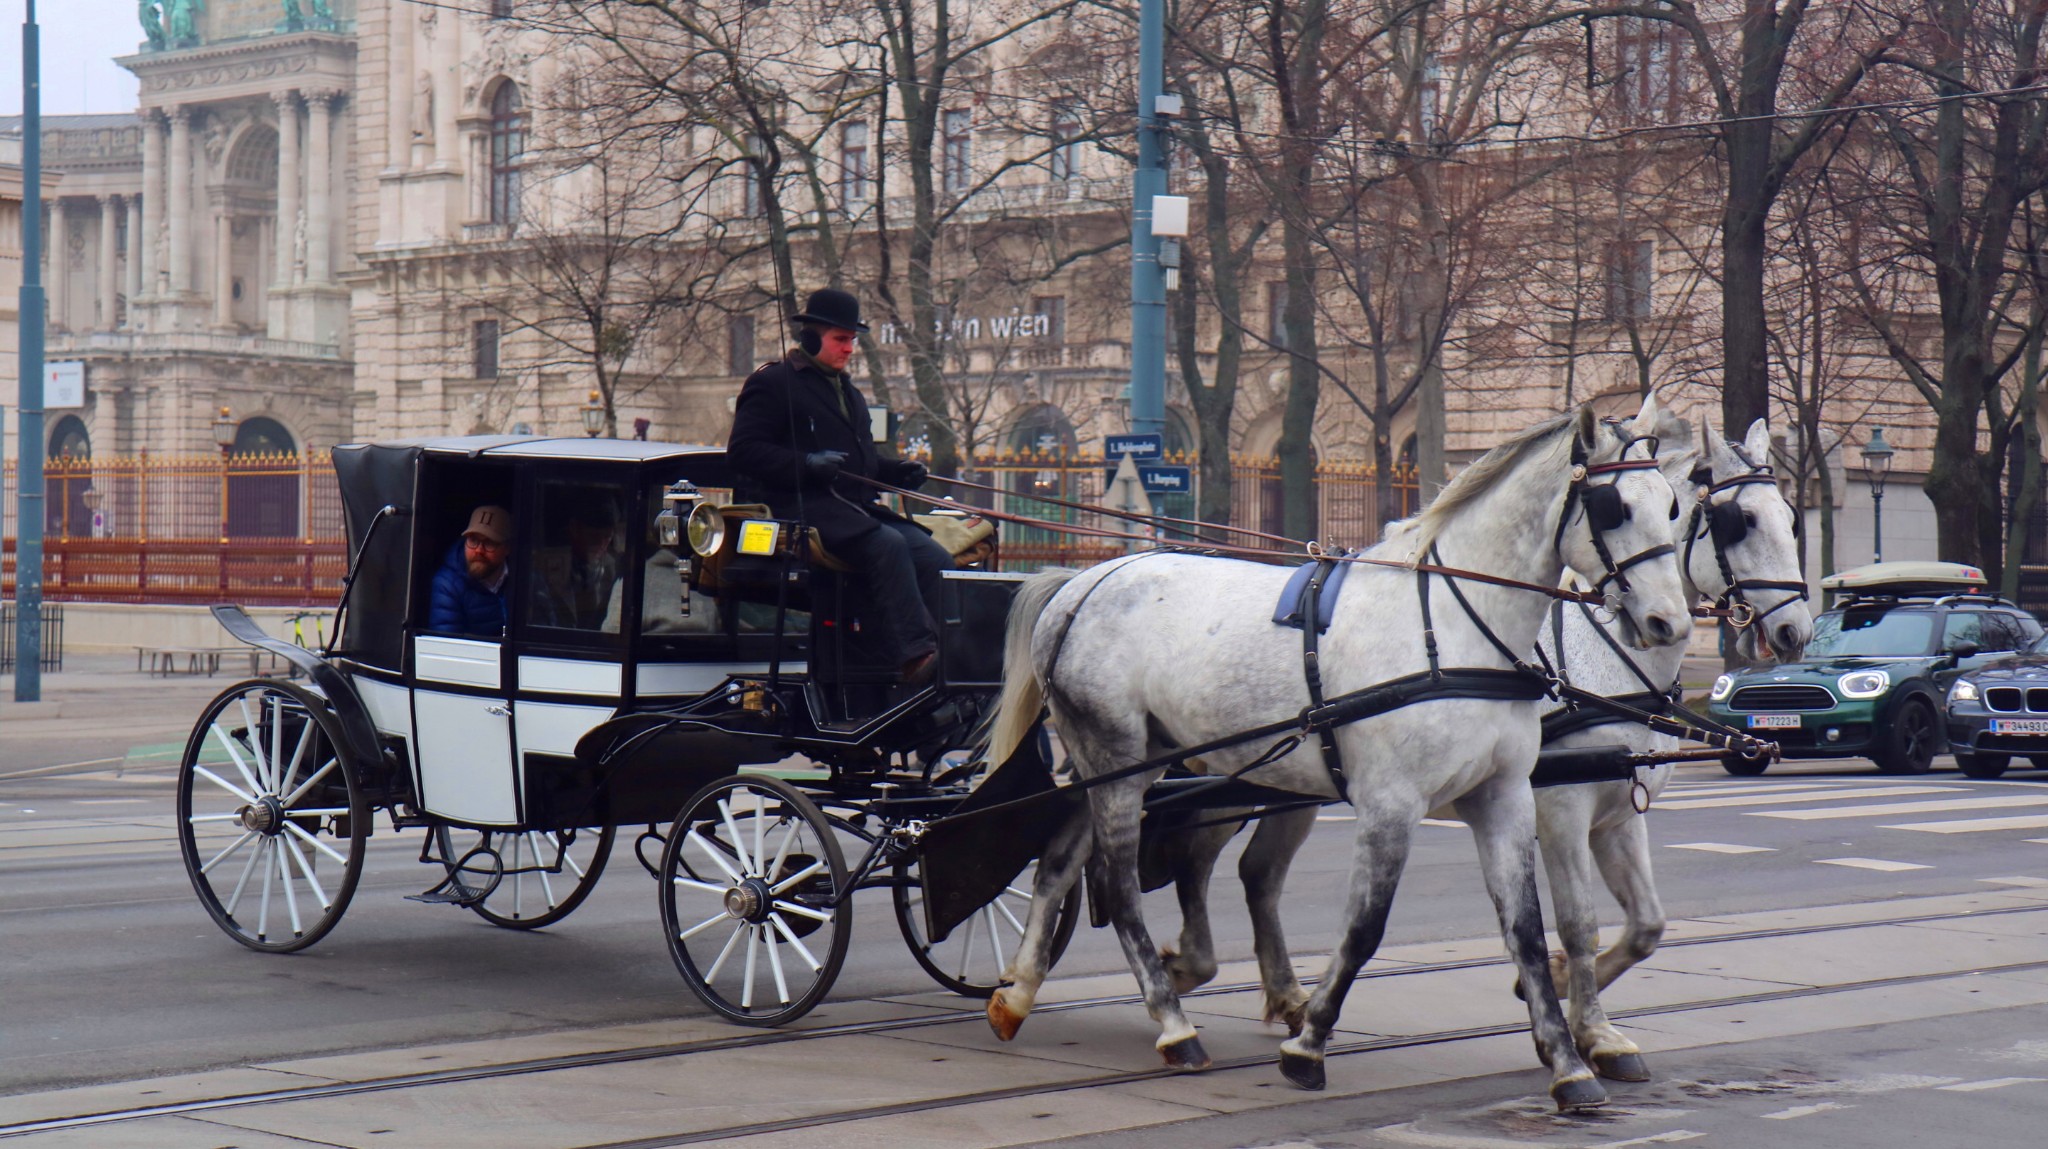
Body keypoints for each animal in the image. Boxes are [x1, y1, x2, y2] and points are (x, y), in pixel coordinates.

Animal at [983, 399, 1687, 1105]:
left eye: (1673, 506)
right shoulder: (1392, 804)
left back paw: (1018, 992)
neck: (1452, 628)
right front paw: (1309, 1044)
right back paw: (1174, 1024)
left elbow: (1526, 930)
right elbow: (1365, 928)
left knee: (1061, 862)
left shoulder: (1505, 797)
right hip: (1118, 760)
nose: (1670, 624)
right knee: (1121, 883)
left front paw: (1568, 1062)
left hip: (1121, 762)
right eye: (1613, 508)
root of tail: (1083, 582)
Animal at [1531, 411, 1818, 1073]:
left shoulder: (1617, 813)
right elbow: (1578, 923)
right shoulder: (1560, 811)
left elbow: (1646, 926)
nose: (1797, 631)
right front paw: (1583, 1024)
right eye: (1742, 521)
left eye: (1791, 517)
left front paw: (1580, 1014)